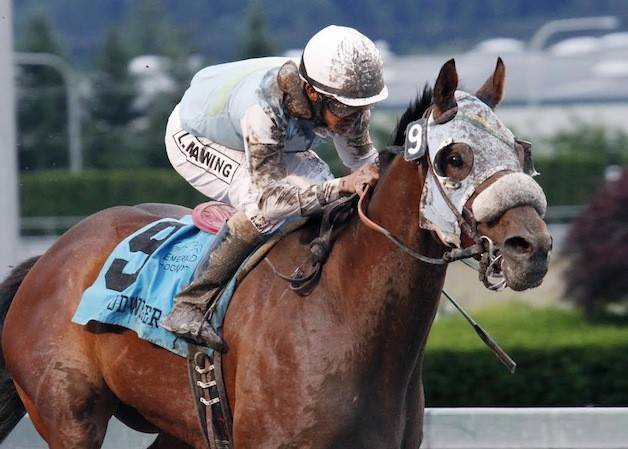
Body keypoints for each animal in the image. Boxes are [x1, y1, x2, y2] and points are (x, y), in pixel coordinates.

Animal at [0, 57, 548, 446]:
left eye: (523, 151)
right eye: (454, 158)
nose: (534, 248)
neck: (341, 310)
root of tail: (49, 257)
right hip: (69, 415)